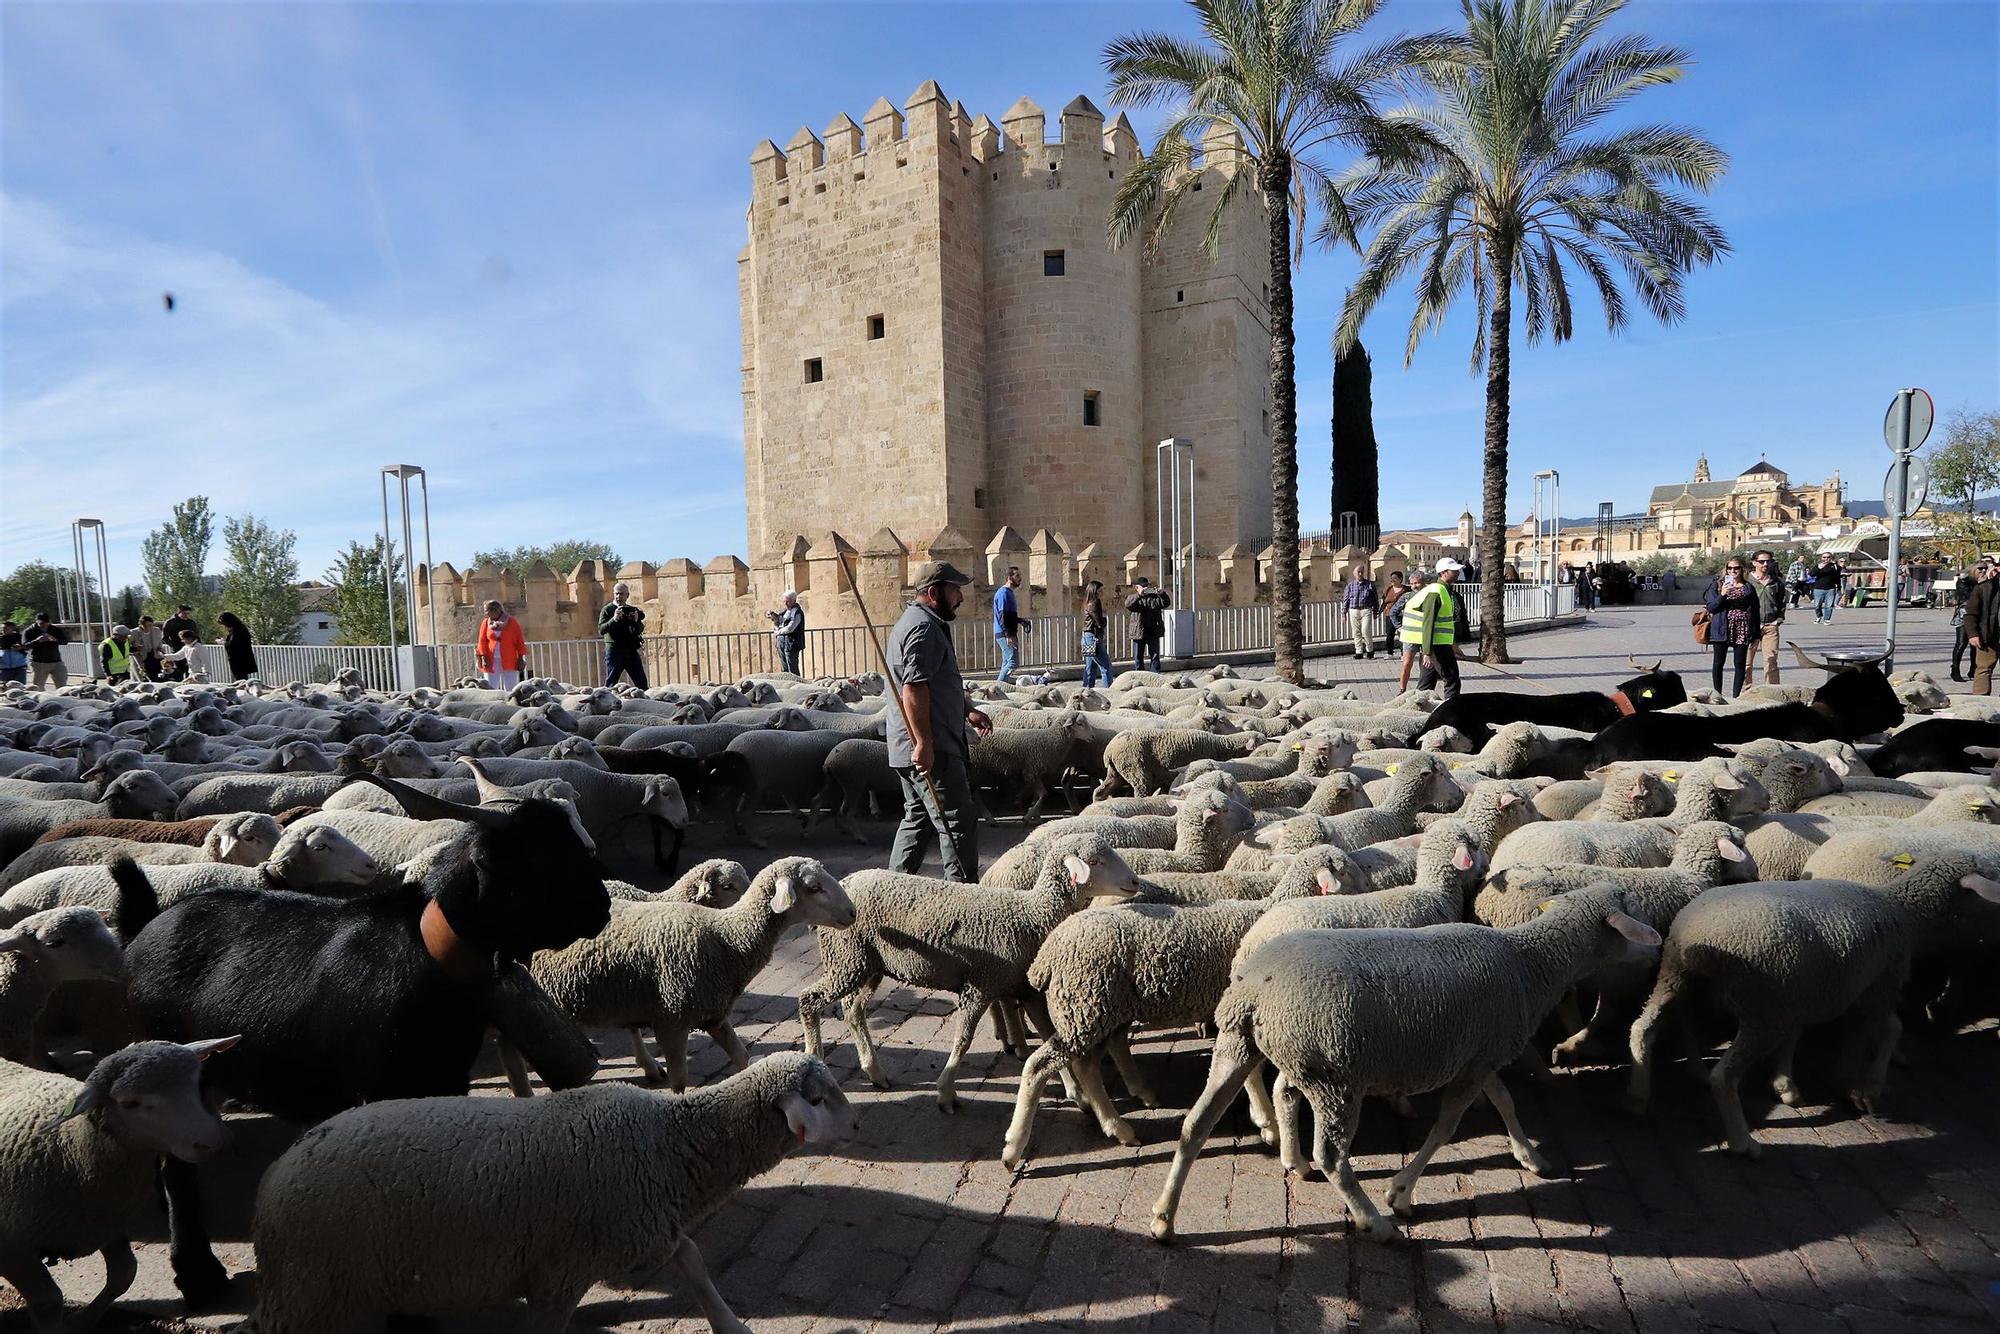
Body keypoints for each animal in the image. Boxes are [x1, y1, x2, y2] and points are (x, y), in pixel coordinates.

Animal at [109, 772, 604, 1304]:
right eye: (546, 856)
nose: (602, 907)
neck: (425, 954)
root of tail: (144, 928)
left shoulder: (442, 1079)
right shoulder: (383, 1088)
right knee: (177, 1170)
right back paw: (198, 1274)